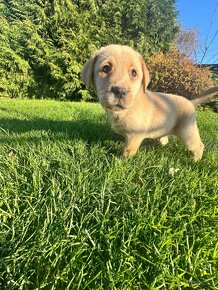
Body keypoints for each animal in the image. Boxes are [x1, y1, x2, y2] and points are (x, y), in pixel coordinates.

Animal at [82, 44, 218, 161]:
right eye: (105, 68)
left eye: (133, 73)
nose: (119, 91)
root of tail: (190, 102)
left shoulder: (134, 136)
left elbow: (127, 151)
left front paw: (120, 162)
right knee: (165, 140)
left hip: (187, 131)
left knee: (198, 145)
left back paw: (195, 161)